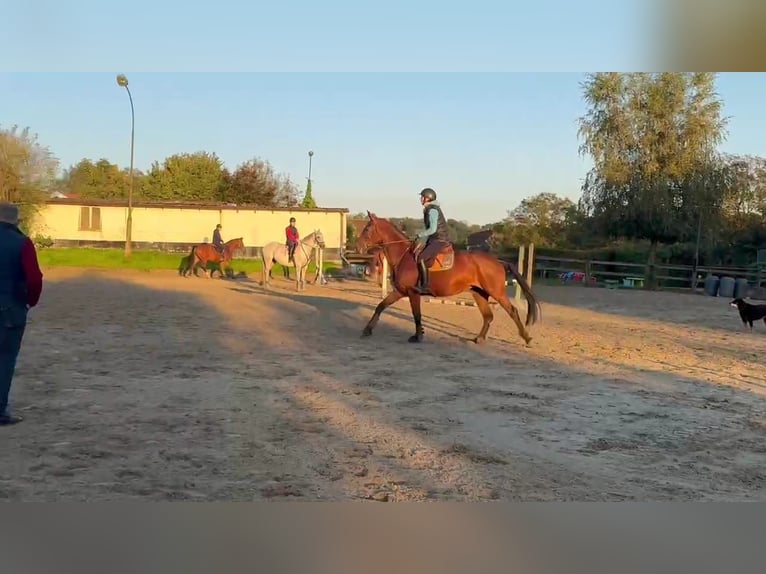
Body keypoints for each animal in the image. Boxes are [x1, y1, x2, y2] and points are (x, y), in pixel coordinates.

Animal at [358, 212, 544, 346]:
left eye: (367, 229)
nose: (359, 247)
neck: (404, 256)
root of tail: (497, 261)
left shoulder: (412, 293)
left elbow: (416, 314)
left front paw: (418, 336)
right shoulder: (400, 291)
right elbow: (381, 306)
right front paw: (367, 330)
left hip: (496, 292)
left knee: (512, 311)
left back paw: (527, 339)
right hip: (479, 293)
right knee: (488, 316)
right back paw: (479, 338)